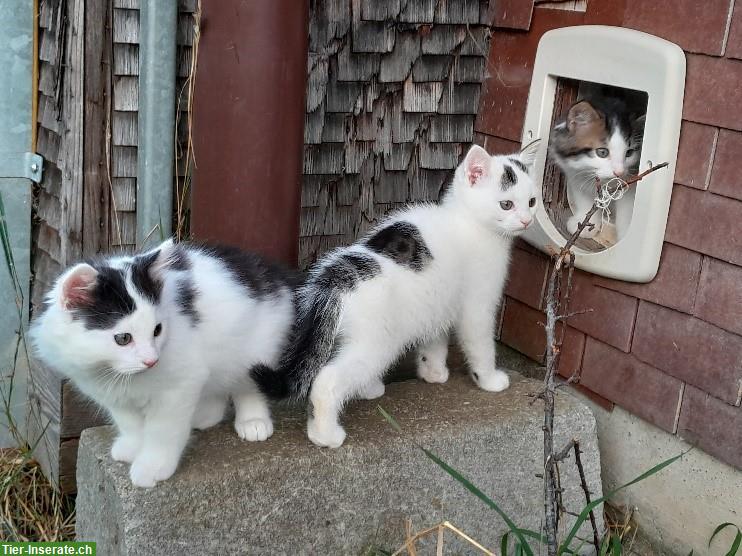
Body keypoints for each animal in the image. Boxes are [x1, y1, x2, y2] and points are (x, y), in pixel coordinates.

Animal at [29, 239, 296, 486]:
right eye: (123, 338)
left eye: (157, 330)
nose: (151, 360)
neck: (117, 373)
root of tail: (273, 272)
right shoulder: (111, 393)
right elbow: (130, 423)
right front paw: (133, 447)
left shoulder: (179, 385)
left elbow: (162, 431)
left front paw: (152, 467)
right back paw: (204, 415)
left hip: (256, 350)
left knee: (247, 386)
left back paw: (253, 421)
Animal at [254, 142, 540, 448]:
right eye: (506, 204)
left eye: (532, 202)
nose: (526, 221)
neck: (468, 222)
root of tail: (338, 276)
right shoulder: (477, 304)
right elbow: (481, 345)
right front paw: (489, 380)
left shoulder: (436, 299)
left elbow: (434, 339)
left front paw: (433, 372)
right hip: (377, 340)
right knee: (327, 379)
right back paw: (325, 435)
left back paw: (367, 389)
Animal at [552, 97, 644, 239]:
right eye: (602, 152)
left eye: (629, 153)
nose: (619, 172)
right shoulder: (574, 174)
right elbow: (585, 199)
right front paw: (583, 224)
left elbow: (627, 209)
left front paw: (626, 235)